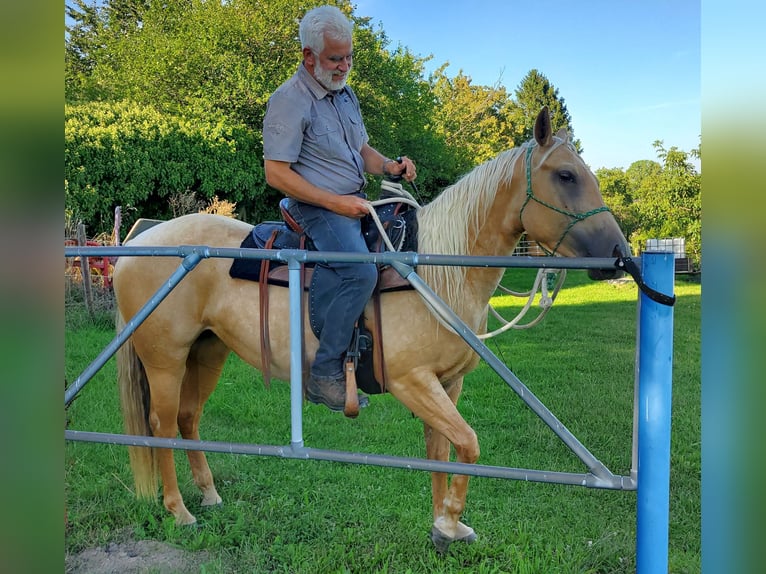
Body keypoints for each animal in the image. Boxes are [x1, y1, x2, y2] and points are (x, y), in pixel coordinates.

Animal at [114, 107, 632, 552]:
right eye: (565, 175)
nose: (619, 253)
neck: (434, 272)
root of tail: (139, 243)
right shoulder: (411, 381)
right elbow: (468, 444)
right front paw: (451, 519)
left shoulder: (447, 384)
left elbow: (441, 450)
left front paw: (443, 525)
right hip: (165, 359)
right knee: (161, 425)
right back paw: (180, 511)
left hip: (207, 352)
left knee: (188, 418)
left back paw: (209, 496)